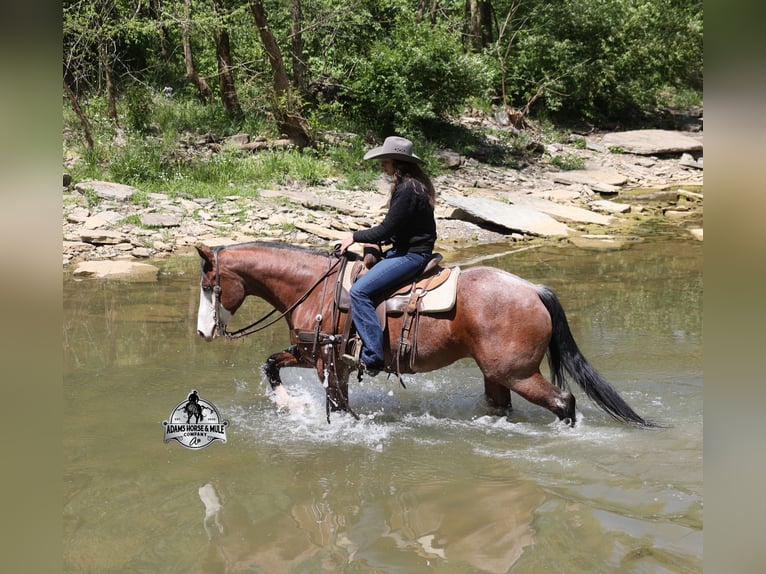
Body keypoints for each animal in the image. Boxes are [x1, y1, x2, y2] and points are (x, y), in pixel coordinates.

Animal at [195, 241, 655, 427]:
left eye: (208, 283)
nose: (202, 332)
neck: (315, 286)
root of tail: (532, 290)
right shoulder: (319, 356)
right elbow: (272, 364)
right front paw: (289, 403)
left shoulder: (325, 360)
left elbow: (337, 405)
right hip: (497, 375)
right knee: (504, 405)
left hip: (518, 373)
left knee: (563, 401)